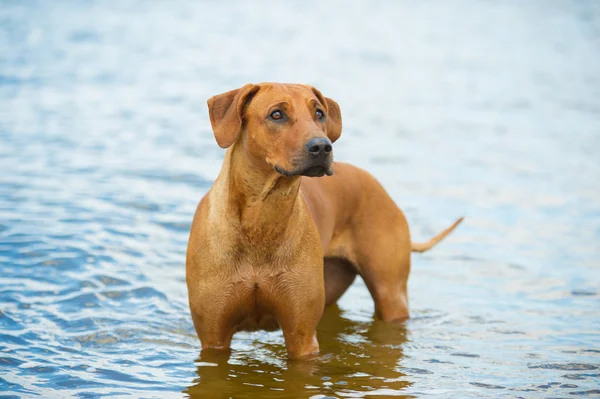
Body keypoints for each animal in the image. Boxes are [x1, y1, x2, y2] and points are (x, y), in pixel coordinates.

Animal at [185, 82, 462, 360]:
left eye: (319, 113)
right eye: (277, 114)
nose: (322, 146)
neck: (261, 221)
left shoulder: (302, 336)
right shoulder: (213, 337)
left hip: (390, 293)